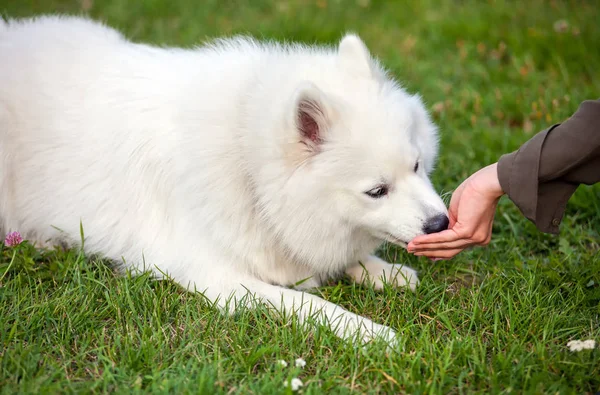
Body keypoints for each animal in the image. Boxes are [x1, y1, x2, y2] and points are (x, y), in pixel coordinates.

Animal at [1, 14, 450, 344]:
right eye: (377, 191)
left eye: (415, 166)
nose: (441, 223)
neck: (244, 160)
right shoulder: (219, 279)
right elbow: (308, 305)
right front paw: (367, 332)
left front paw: (382, 271)